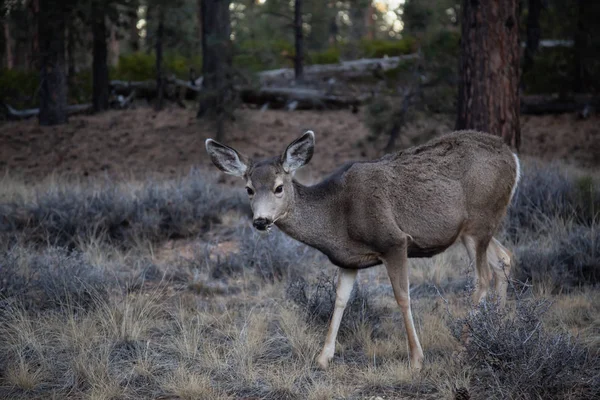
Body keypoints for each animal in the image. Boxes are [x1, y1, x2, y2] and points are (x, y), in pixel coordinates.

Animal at [204, 130, 516, 370]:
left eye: (279, 187)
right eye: (248, 189)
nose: (260, 221)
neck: (337, 217)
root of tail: (512, 156)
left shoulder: (394, 241)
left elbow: (403, 297)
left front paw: (417, 359)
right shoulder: (348, 259)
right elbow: (340, 300)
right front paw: (323, 357)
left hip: (479, 219)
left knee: (482, 277)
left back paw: (463, 349)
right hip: (476, 227)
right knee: (504, 259)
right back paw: (498, 332)